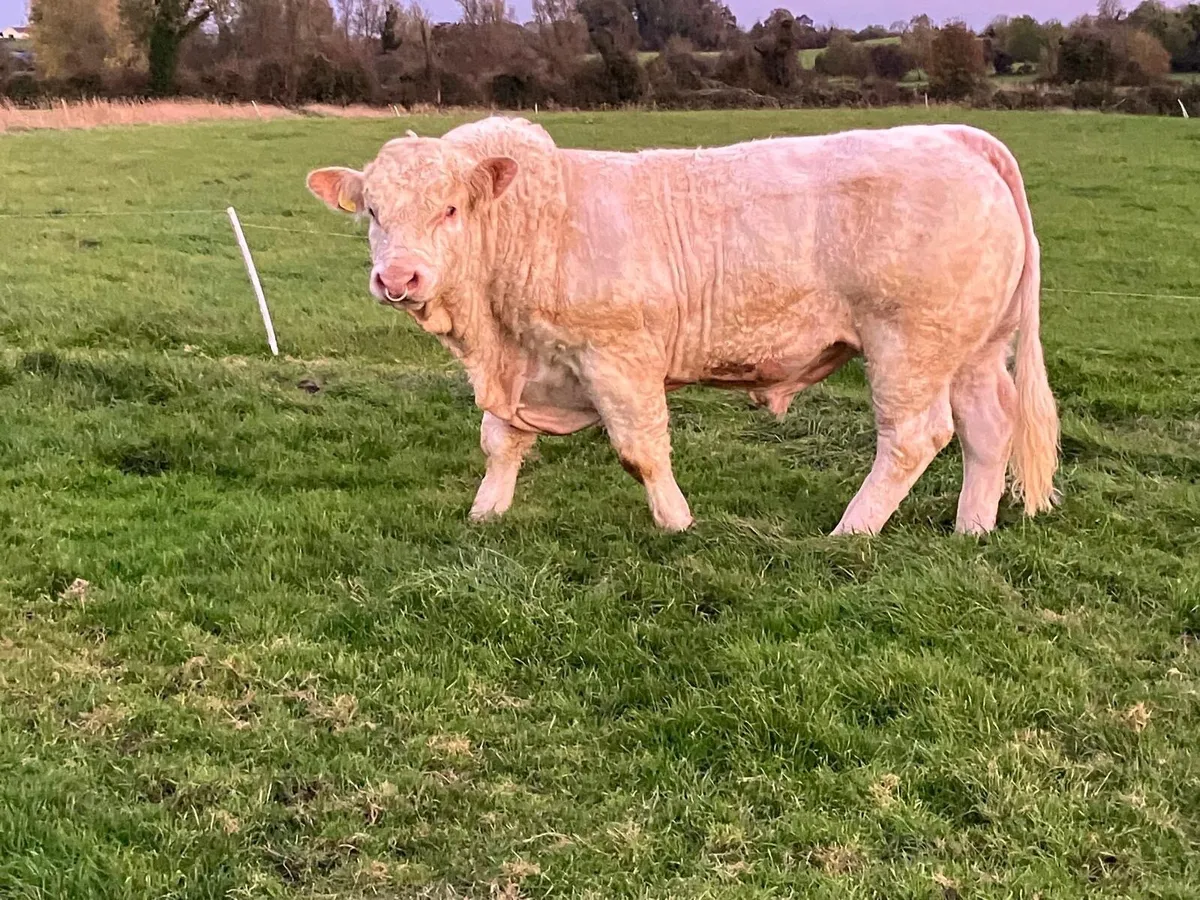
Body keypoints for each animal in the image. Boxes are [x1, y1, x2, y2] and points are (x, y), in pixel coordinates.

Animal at [306, 116, 1059, 535]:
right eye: (372, 211)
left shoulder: (618, 357)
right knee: (988, 427)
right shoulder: (528, 363)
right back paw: (971, 530)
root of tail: (954, 137)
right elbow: (501, 443)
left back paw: (852, 530)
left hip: (908, 344)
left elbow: (641, 450)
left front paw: (678, 524)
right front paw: (485, 514)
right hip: (973, 349)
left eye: (451, 209)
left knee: (913, 437)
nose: (399, 278)